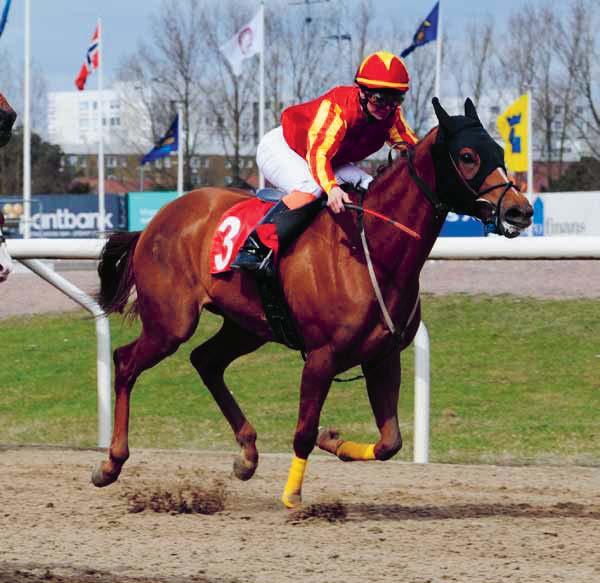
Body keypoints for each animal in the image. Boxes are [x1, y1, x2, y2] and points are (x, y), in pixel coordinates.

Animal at [92, 99, 528, 506]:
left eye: (500, 151)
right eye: (468, 156)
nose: (520, 211)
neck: (371, 247)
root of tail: (155, 222)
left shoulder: (382, 356)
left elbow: (390, 442)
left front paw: (332, 440)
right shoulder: (321, 357)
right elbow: (302, 432)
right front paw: (293, 496)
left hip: (247, 325)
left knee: (206, 361)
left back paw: (247, 453)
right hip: (171, 321)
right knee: (126, 363)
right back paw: (111, 462)